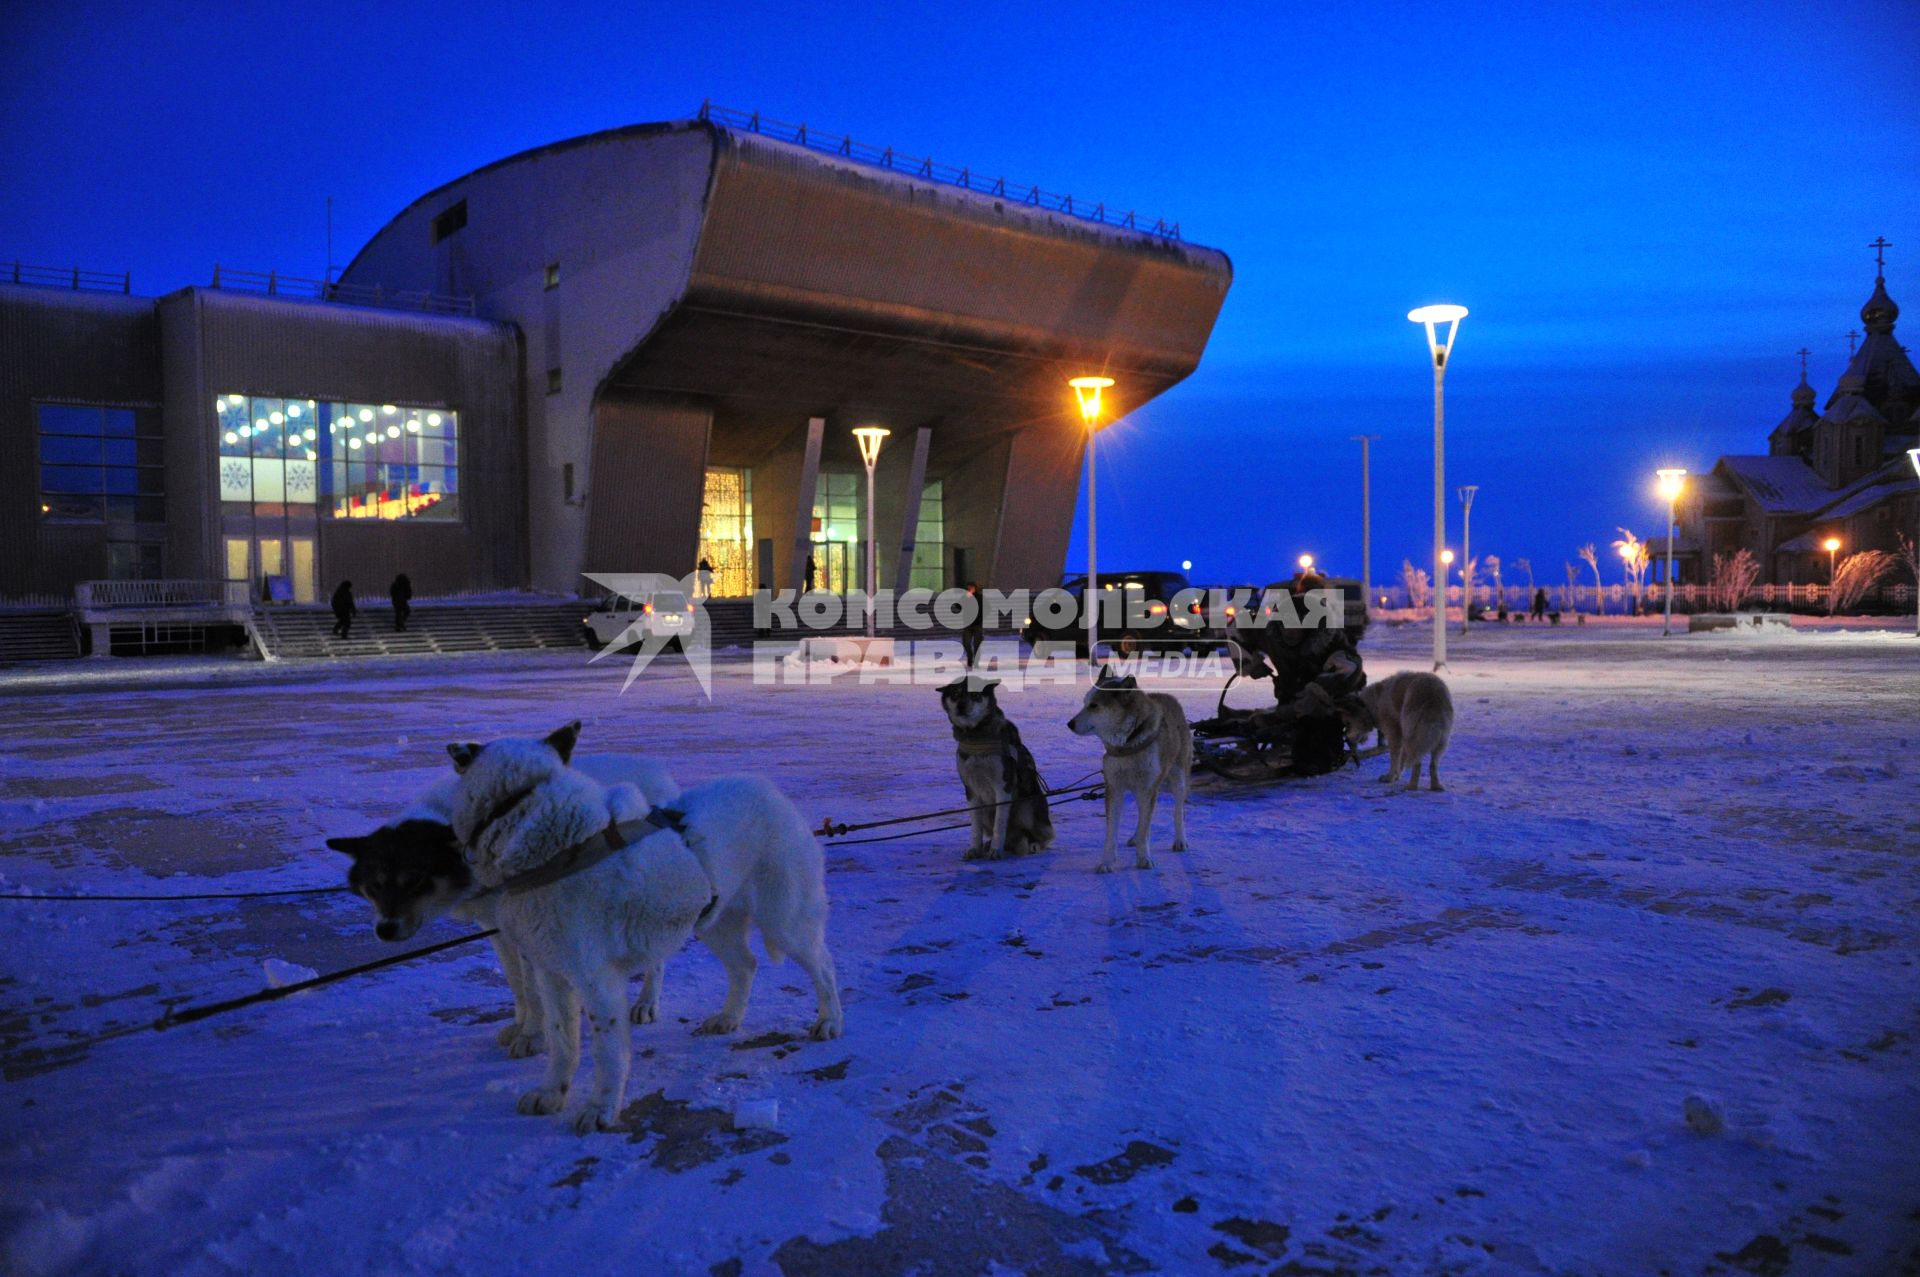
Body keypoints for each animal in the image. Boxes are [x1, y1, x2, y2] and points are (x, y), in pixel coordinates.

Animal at [328, 748, 683, 1052]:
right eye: (374, 886)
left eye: (413, 880)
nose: (385, 930)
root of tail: (655, 771)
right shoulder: (497, 928)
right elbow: (517, 983)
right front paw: (521, 1025)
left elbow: (532, 988)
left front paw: (532, 1037)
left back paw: (646, 1002)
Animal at [449, 722, 848, 1129]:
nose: (451, 746)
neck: (554, 847)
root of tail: (771, 791)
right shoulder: (551, 973)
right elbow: (562, 1041)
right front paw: (551, 1094)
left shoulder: (596, 980)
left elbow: (607, 1052)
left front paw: (601, 1109)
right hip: (714, 922)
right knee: (745, 965)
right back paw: (729, 1018)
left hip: (785, 921)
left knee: (824, 966)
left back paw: (830, 1021)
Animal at [933, 672, 1052, 860]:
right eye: (955, 694)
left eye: (975, 694)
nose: (961, 706)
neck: (976, 737)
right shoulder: (971, 789)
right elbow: (976, 827)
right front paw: (975, 848)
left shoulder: (1004, 786)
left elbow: (999, 824)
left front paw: (996, 850)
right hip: (989, 811)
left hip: (1026, 805)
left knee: (1038, 835)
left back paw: (1031, 844)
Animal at [1067, 660, 1182, 871]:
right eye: (1084, 703)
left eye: (1094, 706)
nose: (1069, 724)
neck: (1128, 743)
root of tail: (1166, 696)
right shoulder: (1114, 787)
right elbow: (1112, 831)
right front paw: (1107, 862)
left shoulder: (1148, 788)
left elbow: (1146, 825)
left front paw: (1144, 858)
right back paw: (1136, 838)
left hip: (1178, 777)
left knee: (1178, 810)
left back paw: (1180, 840)